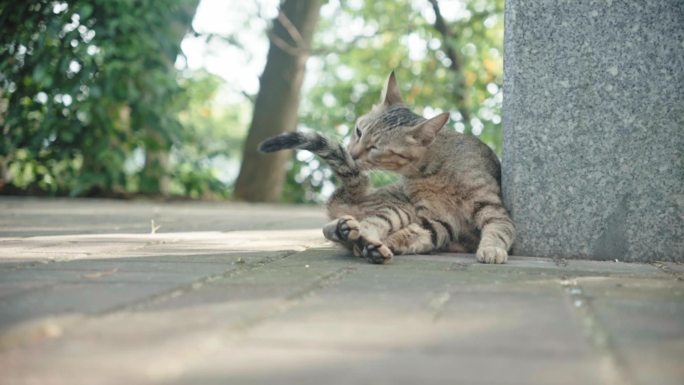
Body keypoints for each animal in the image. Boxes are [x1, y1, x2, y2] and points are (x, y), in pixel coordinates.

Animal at [258, 71, 512, 264]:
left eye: (375, 147)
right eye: (359, 131)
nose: (352, 154)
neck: (433, 173)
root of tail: (356, 192)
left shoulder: (485, 211)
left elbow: (498, 230)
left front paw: (491, 249)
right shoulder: (434, 218)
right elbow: (410, 232)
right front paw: (373, 246)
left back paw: (353, 236)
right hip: (399, 209)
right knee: (359, 226)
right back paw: (351, 234)